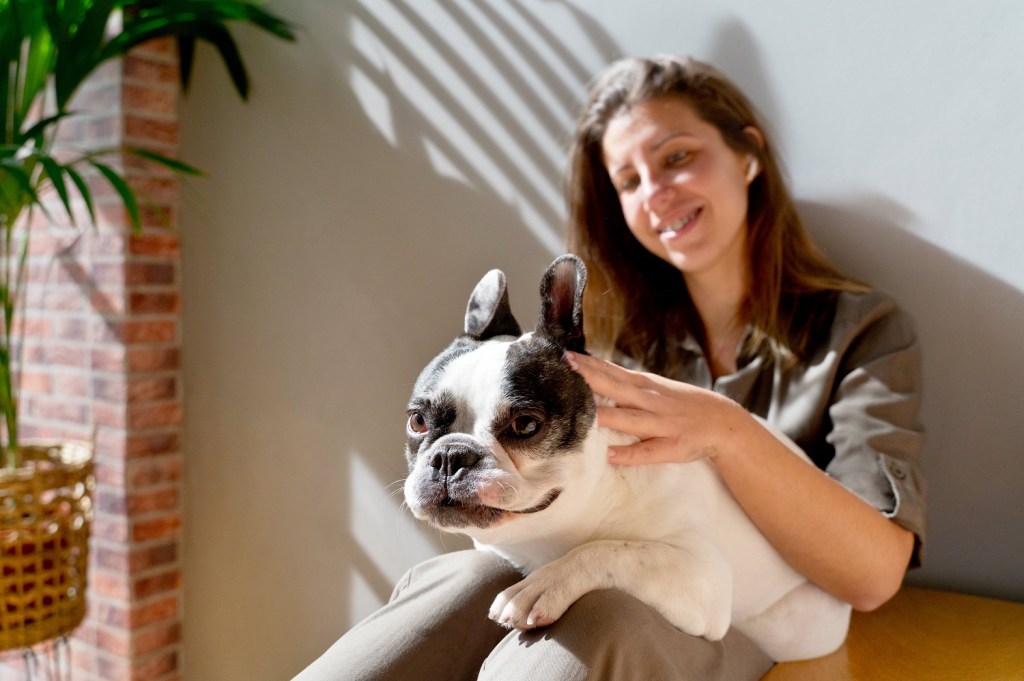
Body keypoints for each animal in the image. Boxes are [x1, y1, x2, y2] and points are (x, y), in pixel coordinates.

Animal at [403, 253, 851, 659]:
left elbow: (612, 550)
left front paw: (544, 583)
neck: (554, 528)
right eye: (418, 421)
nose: (451, 456)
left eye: (525, 425)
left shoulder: (702, 575)